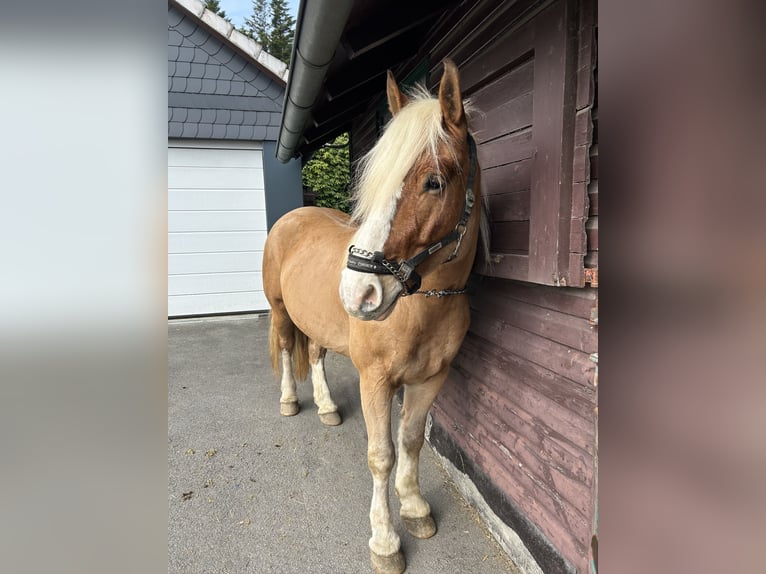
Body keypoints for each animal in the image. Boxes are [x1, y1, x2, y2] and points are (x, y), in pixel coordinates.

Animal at [262, 59, 483, 574]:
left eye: (434, 181)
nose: (357, 292)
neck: (423, 307)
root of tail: (291, 217)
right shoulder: (376, 381)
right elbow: (381, 455)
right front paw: (385, 540)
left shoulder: (431, 379)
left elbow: (411, 442)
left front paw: (415, 507)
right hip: (280, 312)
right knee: (285, 347)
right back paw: (289, 401)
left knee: (315, 356)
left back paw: (326, 407)